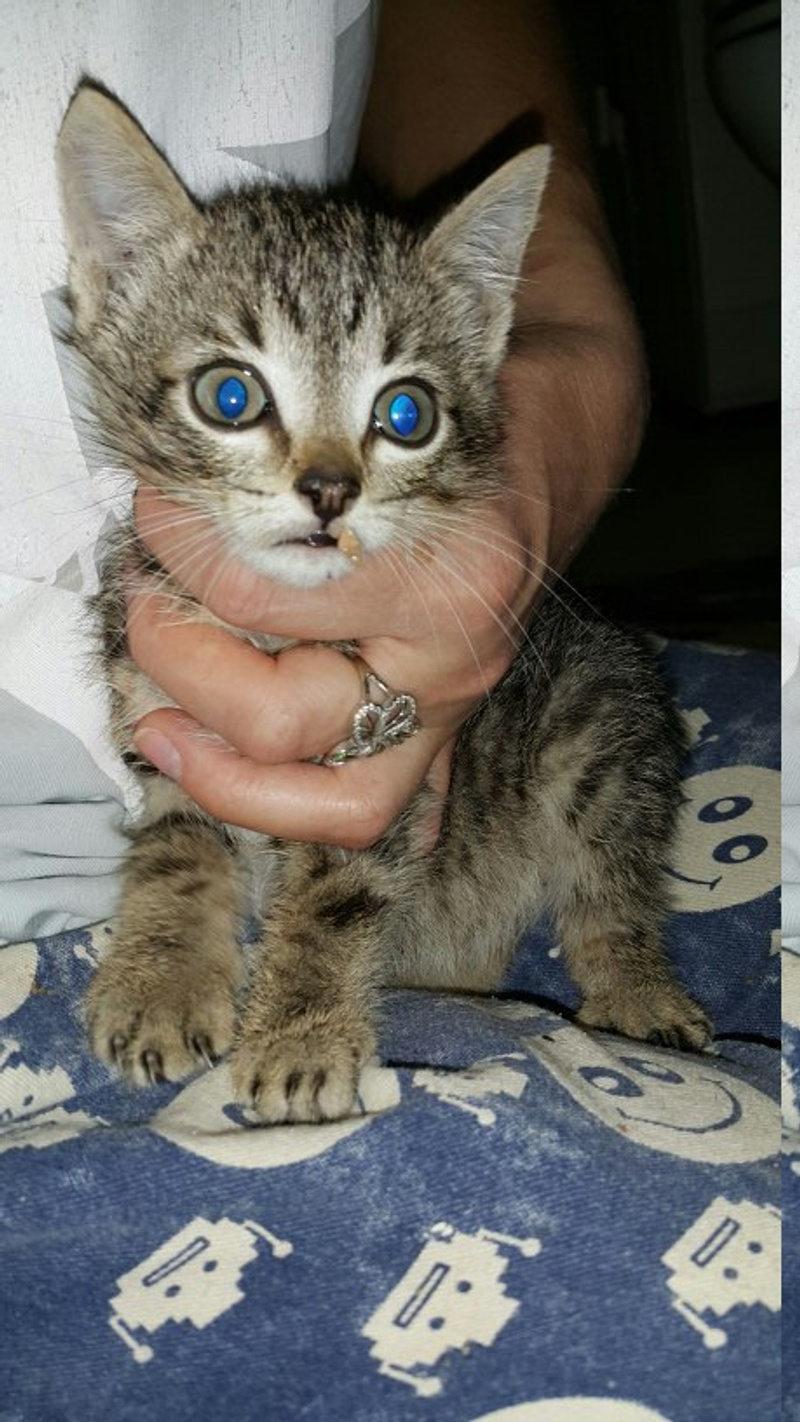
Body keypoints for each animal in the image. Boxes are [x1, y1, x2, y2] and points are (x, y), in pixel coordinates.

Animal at [56, 81, 711, 1123]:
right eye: (230, 395)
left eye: (406, 414)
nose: (330, 489)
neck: (268, 628)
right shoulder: (158, 717)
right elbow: (177, 846)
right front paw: (158, 980)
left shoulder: (377, 796)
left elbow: (333, 898)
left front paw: (299, 1036)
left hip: (601, 720)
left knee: (611, 891)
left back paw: (638, 1001)